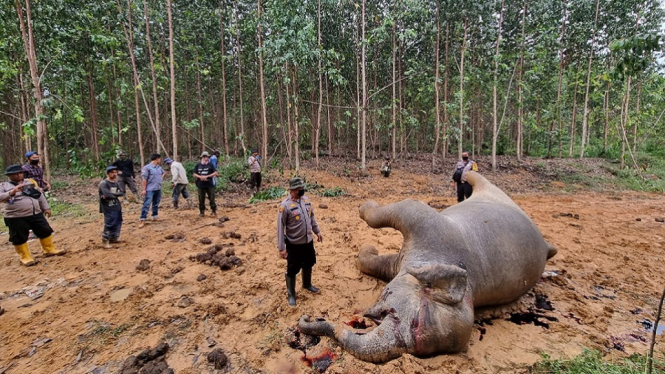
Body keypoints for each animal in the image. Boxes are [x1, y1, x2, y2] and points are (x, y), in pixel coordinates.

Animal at [300, 172, 556, 362]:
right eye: (414, 320)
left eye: (414, 329)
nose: (309, 318)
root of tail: (546, 246)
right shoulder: (426, 227)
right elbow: (396, 210)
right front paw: (364, 214)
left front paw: (367, 248)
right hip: (494, 194)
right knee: (478, 179)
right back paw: (466, 173)